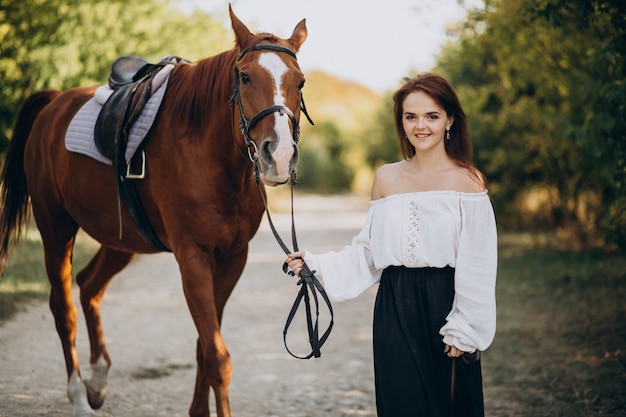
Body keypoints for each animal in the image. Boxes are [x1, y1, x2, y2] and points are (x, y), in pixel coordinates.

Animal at [0, 6, 308, 416]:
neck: (204, 146)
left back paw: (97, 381)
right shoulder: (193, 259)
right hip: (56, 229)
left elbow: (204, 348)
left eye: (300, 83)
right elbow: (217, 357)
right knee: (63, 309)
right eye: (244, 77)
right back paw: (79, 396)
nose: (280, 155)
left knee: (89, 287)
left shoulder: (232, 259)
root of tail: (54, 103)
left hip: (120, 240)